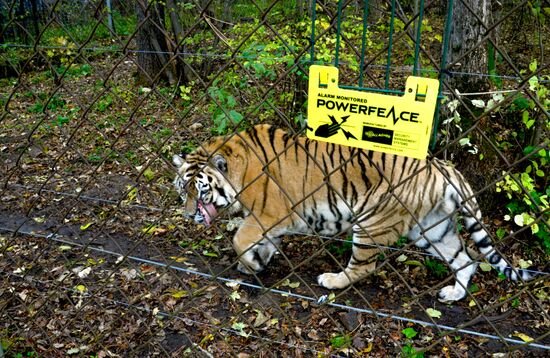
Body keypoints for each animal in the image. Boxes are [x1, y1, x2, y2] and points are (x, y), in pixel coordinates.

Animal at [174, 124, 536, 300]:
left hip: (372, 223)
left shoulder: (269, 214)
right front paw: (258, 260)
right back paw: (454, 294)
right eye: (182, 190)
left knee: (364, 267)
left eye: (200, 190)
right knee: (466, 259)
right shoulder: (269, 222)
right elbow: (261, 242)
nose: (188, 215)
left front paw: (250, 263)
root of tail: (442, 165)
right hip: (433, 229)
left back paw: (331, 280)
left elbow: (240, 237)